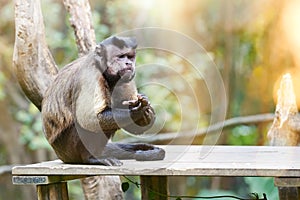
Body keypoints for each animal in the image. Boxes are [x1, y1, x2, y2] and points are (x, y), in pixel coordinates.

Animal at [41, 36, 165, 166]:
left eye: (130, 57)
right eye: (121, 57)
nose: (129, 63)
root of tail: (60, 154)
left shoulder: (125, 78)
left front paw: (147, 113)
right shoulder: (91, 75)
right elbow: (87, 119)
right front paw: (137, 111)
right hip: (68, 150)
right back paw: (90, 158)